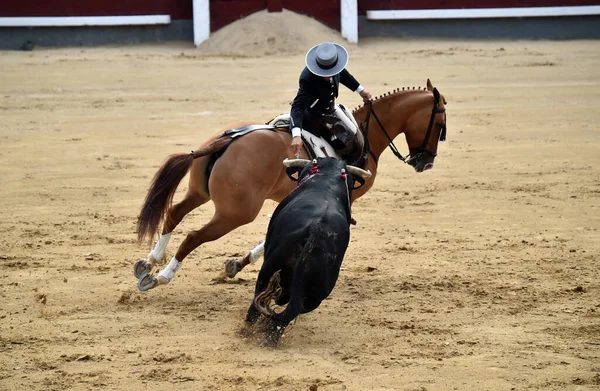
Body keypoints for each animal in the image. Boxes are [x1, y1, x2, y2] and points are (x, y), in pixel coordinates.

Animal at [134, 79, 448, 290]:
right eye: (439, 125)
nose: (426, 162)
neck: (365, 133)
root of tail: (226, 142)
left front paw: (237, 263)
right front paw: (239, 263)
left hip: (200, 193)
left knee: (174, 213)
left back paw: (150, 261)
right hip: (235, 213)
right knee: (193, 236)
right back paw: (160, 277)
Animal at [244, 158, 370, 348]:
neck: (326, 178)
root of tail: (317, 228)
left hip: (269, 267)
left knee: (258, 300)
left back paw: (245, 333)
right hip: (319, 290)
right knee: (290, 312)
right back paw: (270, 339)